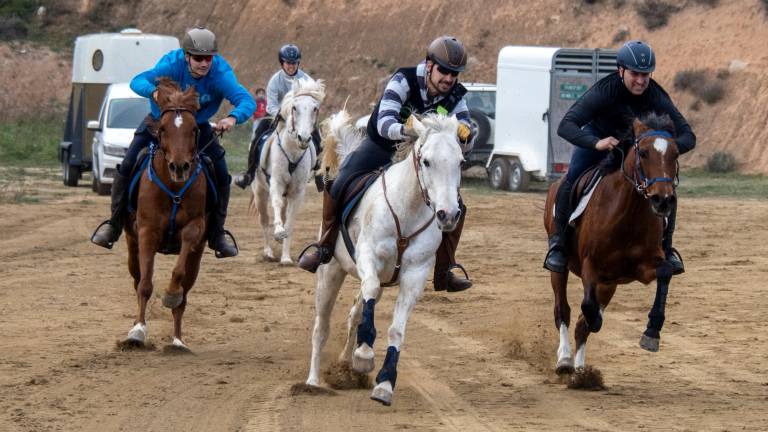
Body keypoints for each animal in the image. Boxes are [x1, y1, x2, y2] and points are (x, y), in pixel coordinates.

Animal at [124, 78, 212, 352]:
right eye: (162, 129)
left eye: (194, 129)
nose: (180, 166)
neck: (173, 189)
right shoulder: (146, 232)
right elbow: (144, 284)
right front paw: (137, 331)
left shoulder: (195, 228)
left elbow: (178, 275)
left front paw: (171, 294)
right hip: (132, 246)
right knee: (137, 280)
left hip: (197, 258)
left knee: (184, 295)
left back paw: (177, 341)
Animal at [250, 79, 326, 264]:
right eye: (294, 107)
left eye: (315, 108)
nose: (304, 138)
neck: (292, 152)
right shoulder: (276, 184)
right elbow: (276, 205)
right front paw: (278, 232)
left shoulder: (297, 192)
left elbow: (290, 223)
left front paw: (285, 257)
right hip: (259, 192)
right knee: (264, 220)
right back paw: (268, 252)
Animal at [304, 110, 462, 404]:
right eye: (426, 161)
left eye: (460, 161)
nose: (448, 215)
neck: (408, 210)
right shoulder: (368, 258)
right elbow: (369, 291)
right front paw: (365, 355)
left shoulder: (414, 276)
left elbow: (396, 329)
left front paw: (385, 383)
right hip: (330, 272)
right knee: (322, 326)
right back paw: (313, 381)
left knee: (356, 312)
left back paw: (347, 367)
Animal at [544, 113, 680, 372]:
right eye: (643, 153)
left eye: (675, 154)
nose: (663, 200)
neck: (628, 214)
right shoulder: (591, 266)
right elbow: (587, 308)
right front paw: (593, 319)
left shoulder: (644, 268)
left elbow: (666, 271)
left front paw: (652, 332)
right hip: (561, 267)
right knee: (562, 310)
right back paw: (565, 359)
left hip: (610, 283)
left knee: (581, 324)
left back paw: (580, 371)